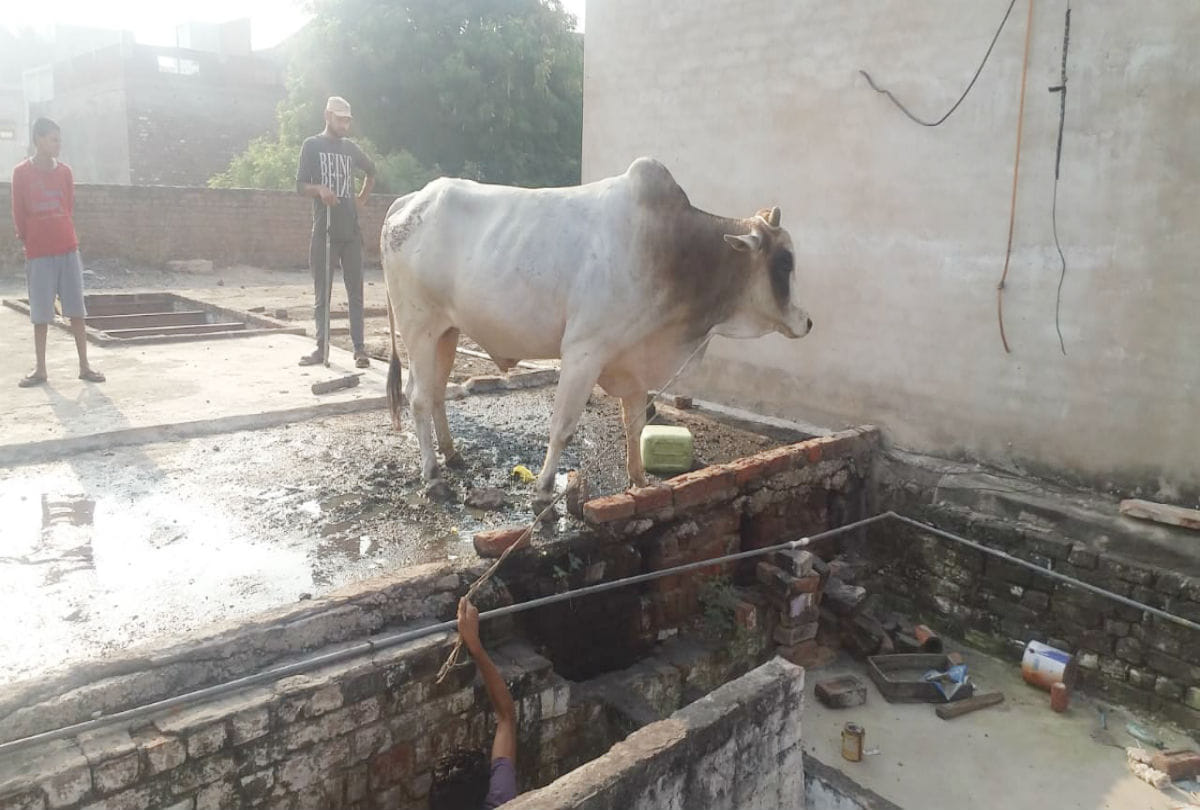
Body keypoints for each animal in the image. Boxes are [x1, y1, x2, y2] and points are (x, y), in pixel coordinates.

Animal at [380, 157, 812, 508]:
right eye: (784, 261)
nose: (806, 321)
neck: (672, 252)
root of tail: (409, 201)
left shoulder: (635, 363)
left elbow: (635, 426)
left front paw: (640, 482)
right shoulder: (583, 352)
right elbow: (563, 428)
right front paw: (543, 492)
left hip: (447, 332)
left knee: (435, 392)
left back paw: (452, 456)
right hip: (419, 328)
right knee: (418, 398)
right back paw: (434, 477)